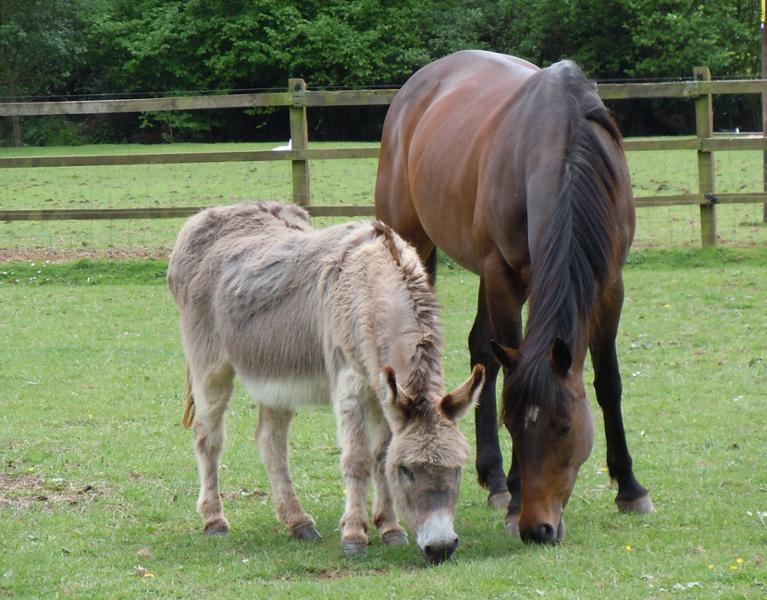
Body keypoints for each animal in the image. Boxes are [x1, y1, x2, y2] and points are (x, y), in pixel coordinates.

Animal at [167, 202, 485, 563]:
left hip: (275, 379)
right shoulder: (351, 385)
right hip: (210, 367)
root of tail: (207, 215)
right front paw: (354, 536)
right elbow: (358, 459)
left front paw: (390, 529)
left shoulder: (383, 393)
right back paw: (214, 521)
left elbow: (380, 455)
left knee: (270, 441)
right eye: (407, 470)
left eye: (457, 468)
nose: (441, 547)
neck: (371, 287)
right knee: (208, 439)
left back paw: (298, 522)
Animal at [375, 50, 653, 545]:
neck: (565, 149)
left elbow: (608, 382)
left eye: (564, 427)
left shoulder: (609, 285)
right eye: (513, 425)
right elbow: (508, 372)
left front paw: (630, 488)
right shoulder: (504, 277)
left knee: (479, 347)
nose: (537, 528)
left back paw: (494, 478)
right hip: (416, 246)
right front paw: (517, 496)